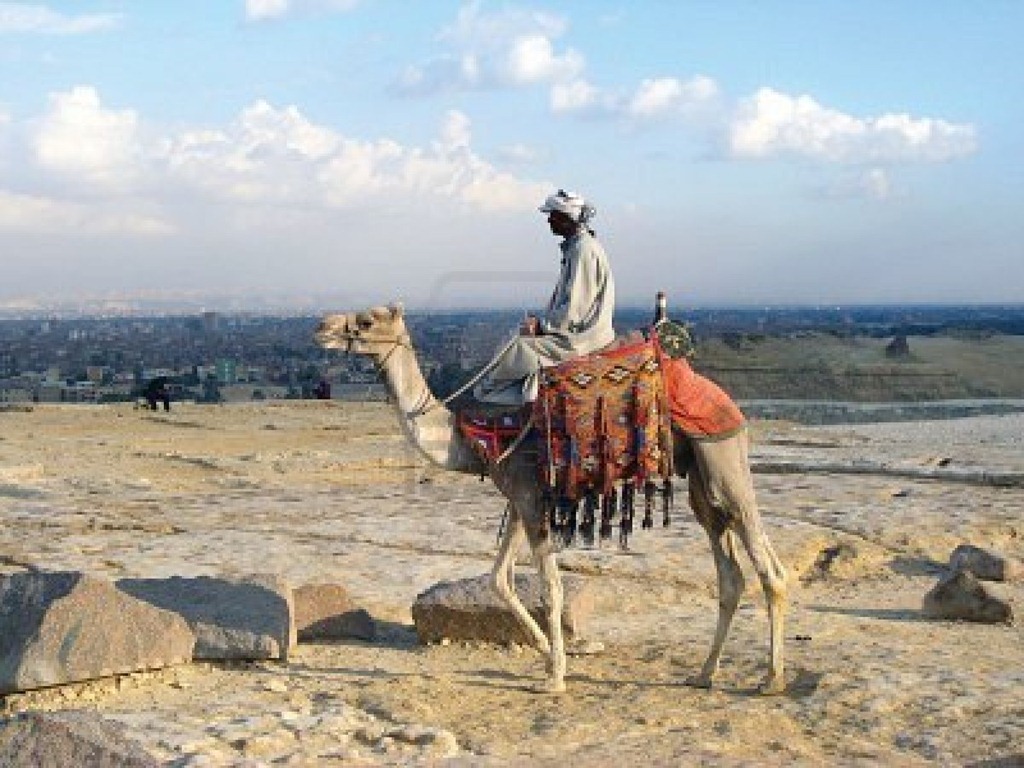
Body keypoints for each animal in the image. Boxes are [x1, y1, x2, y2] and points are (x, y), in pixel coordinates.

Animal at [315, 304, 787, 694]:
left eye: (366, 321)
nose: (322, 327)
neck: (475, 437)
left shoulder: (528, 497)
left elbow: (550, 588)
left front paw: (556, 676)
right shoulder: (520, 498)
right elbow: (499, 580)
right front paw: (546, 656)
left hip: (723, 459)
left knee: (769, 569)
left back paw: (771, 680)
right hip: (702, 485)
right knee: (731, 575)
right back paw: (704, 674)